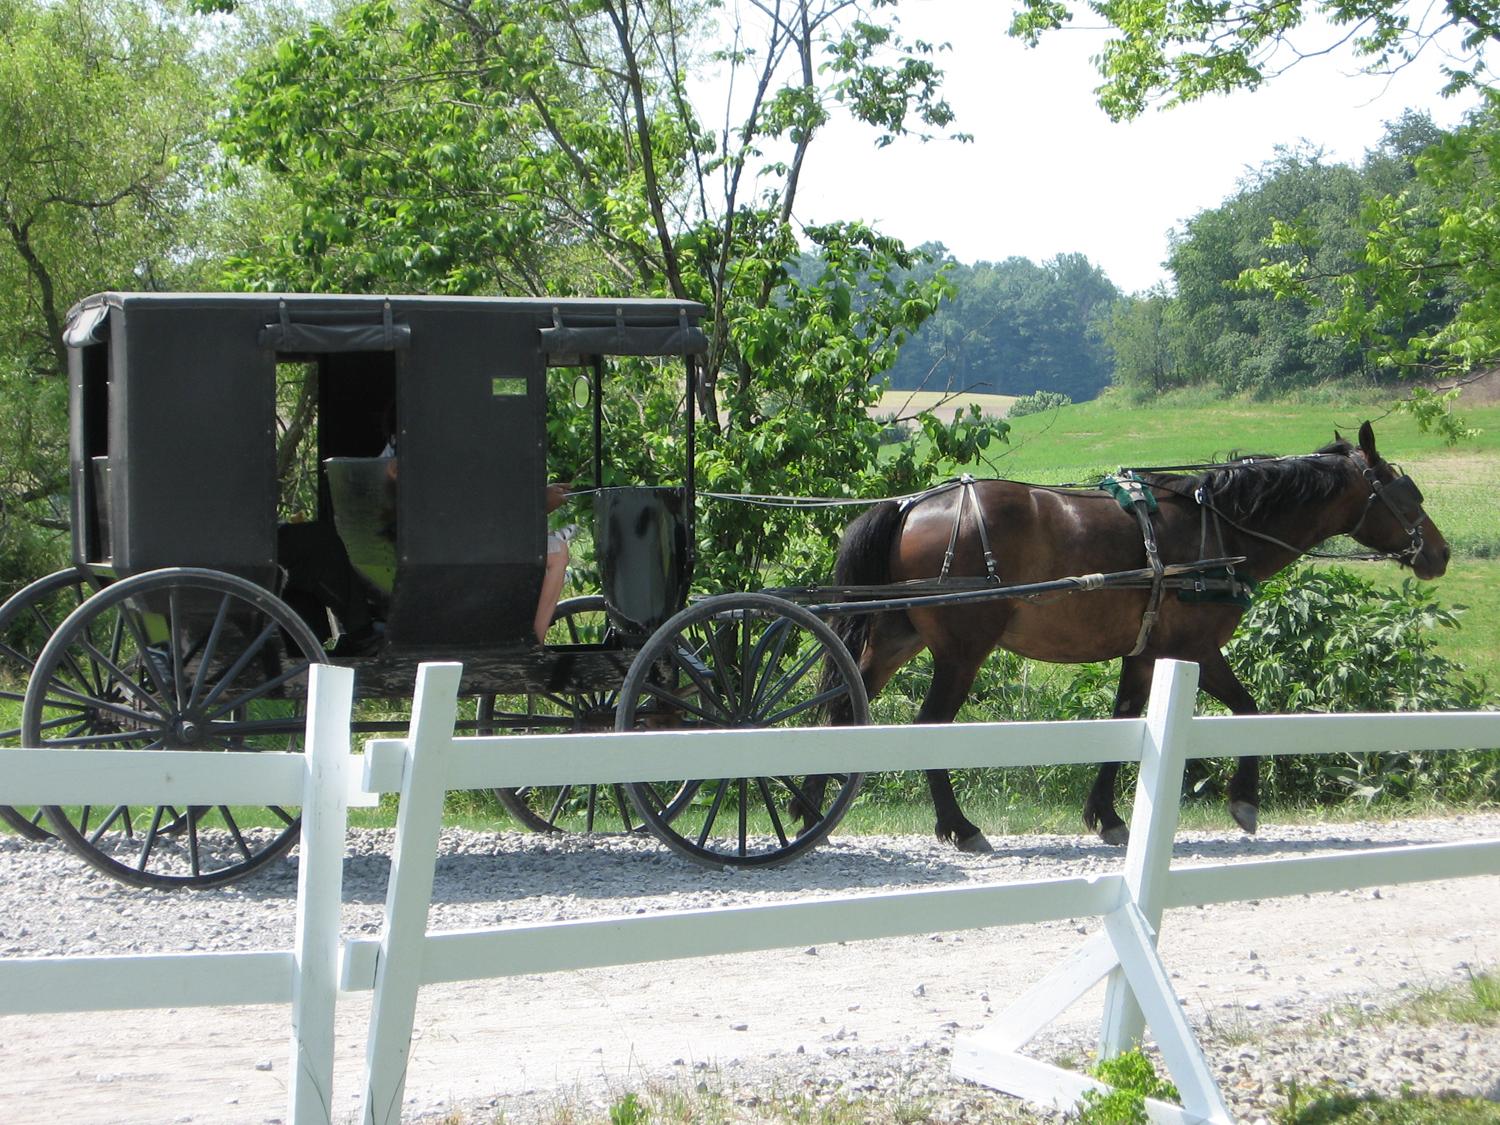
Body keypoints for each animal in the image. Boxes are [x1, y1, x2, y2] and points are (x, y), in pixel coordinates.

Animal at [828, 426, 1446, 852]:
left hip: (897, 637)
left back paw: (817, 807)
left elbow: (1127, 719)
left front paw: (1106, 816)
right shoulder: (1193, 647)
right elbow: (1247, 710)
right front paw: (1244, 801)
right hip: (961, 651)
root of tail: (911, 505)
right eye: (1408, 493)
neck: (1219, 528)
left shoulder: (1147, 652)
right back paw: (959, 827)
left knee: (844, 706)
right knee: (928, 725)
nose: (1439, 554)